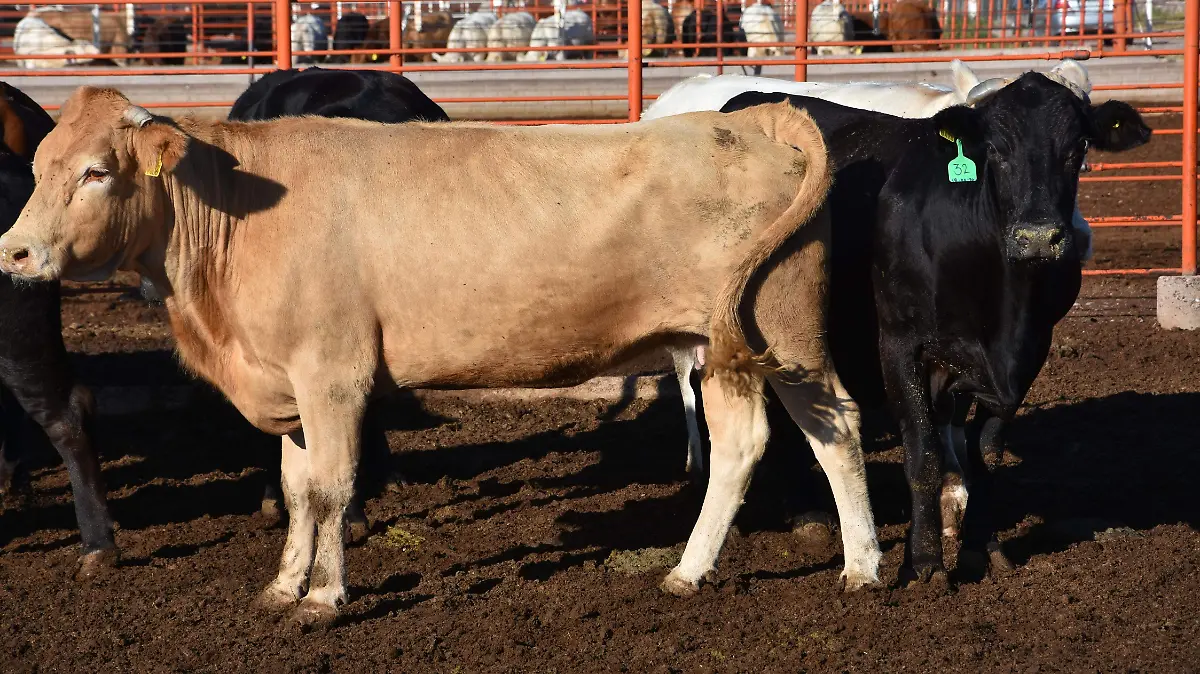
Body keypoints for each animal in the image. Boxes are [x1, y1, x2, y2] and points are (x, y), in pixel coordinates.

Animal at [0, 87, 882, 625]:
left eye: (97, 172)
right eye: (39, 168)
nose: (15, 251)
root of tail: (753, 122)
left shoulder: (332, 374)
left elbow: (330, 491)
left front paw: (323, 596)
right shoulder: (288, 381)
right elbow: (295, 490)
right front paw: (283, 583)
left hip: (787, 335)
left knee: (837, 428)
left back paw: (866, 567)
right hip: (719, 345)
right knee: (740, 446)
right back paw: (689, 571)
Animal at [719, 73, 1150, 583]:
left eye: (1078, 146)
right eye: (995, 149)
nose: (1040, 237)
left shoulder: (1027, 356)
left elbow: (983, 455)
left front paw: (982, 547)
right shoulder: (899, 345)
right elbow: (922, 454)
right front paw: (923, 561)